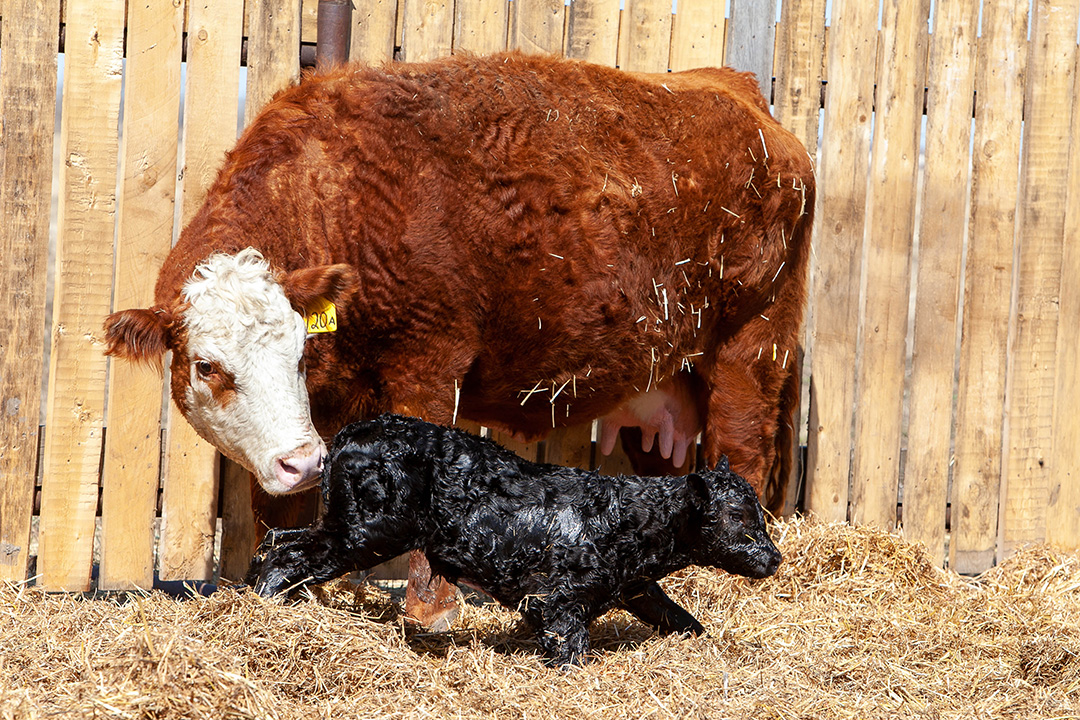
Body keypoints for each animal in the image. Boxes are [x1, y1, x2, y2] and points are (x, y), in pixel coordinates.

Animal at [103, 51, 814, 630]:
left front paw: (430, 607)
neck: (337, 195)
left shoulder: (429, 358)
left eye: (298, 353)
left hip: (754, 347)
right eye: (206, 365)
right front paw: (283, 595)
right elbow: (282, 508)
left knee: (744, 447)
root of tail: (736, 89)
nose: (302, 461)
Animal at [246, 414, 782, 667]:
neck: (625, 521)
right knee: (289, 553)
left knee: (278, 538)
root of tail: (348, 436)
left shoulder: (633, 585)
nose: (774, 558)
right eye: (739, 516)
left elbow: (680, 618)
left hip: (347, 527)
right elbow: (570, 649)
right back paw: (264, 606)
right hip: (364, 533)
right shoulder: (558, 600)